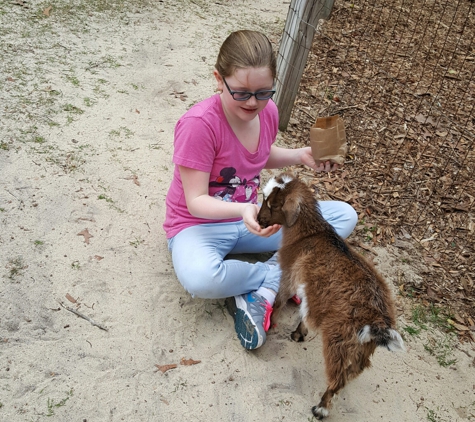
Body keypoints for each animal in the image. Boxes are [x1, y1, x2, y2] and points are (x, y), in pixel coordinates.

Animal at [256, 171, 406, 418]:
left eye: (274, 204)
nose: (259, 220)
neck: (310, 234)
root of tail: (377, 322)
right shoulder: (312, 291)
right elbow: (305, 312)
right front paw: (298, 334)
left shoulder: (290, 274)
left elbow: (280, 300)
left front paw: (271, 326)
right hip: (361, 350)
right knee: (350, 375)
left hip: (339, 341)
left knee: (337, 378)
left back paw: (321, 409)